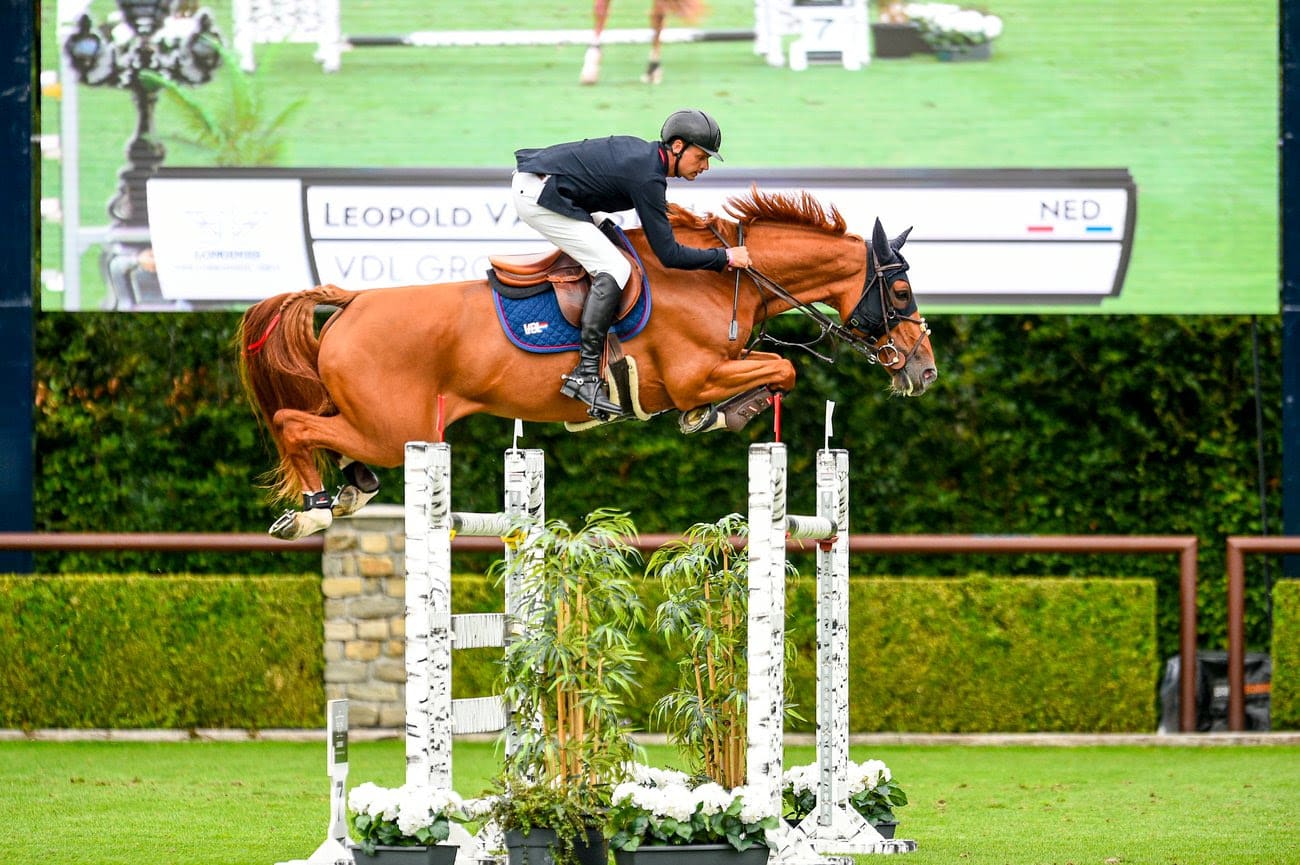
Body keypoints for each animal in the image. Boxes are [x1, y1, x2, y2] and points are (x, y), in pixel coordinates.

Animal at [239, 189, 935, 541]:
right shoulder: (693, 376)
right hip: (392, 426)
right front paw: (718, 416)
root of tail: (352, 301)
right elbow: (779, 372)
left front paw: (722, 415)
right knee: (294, 422)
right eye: (900, 292)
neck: (722, 280)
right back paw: (313, 507)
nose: (922, 370)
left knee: (320, 427)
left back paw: (349, 490)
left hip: (374, 417)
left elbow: (772, 369)